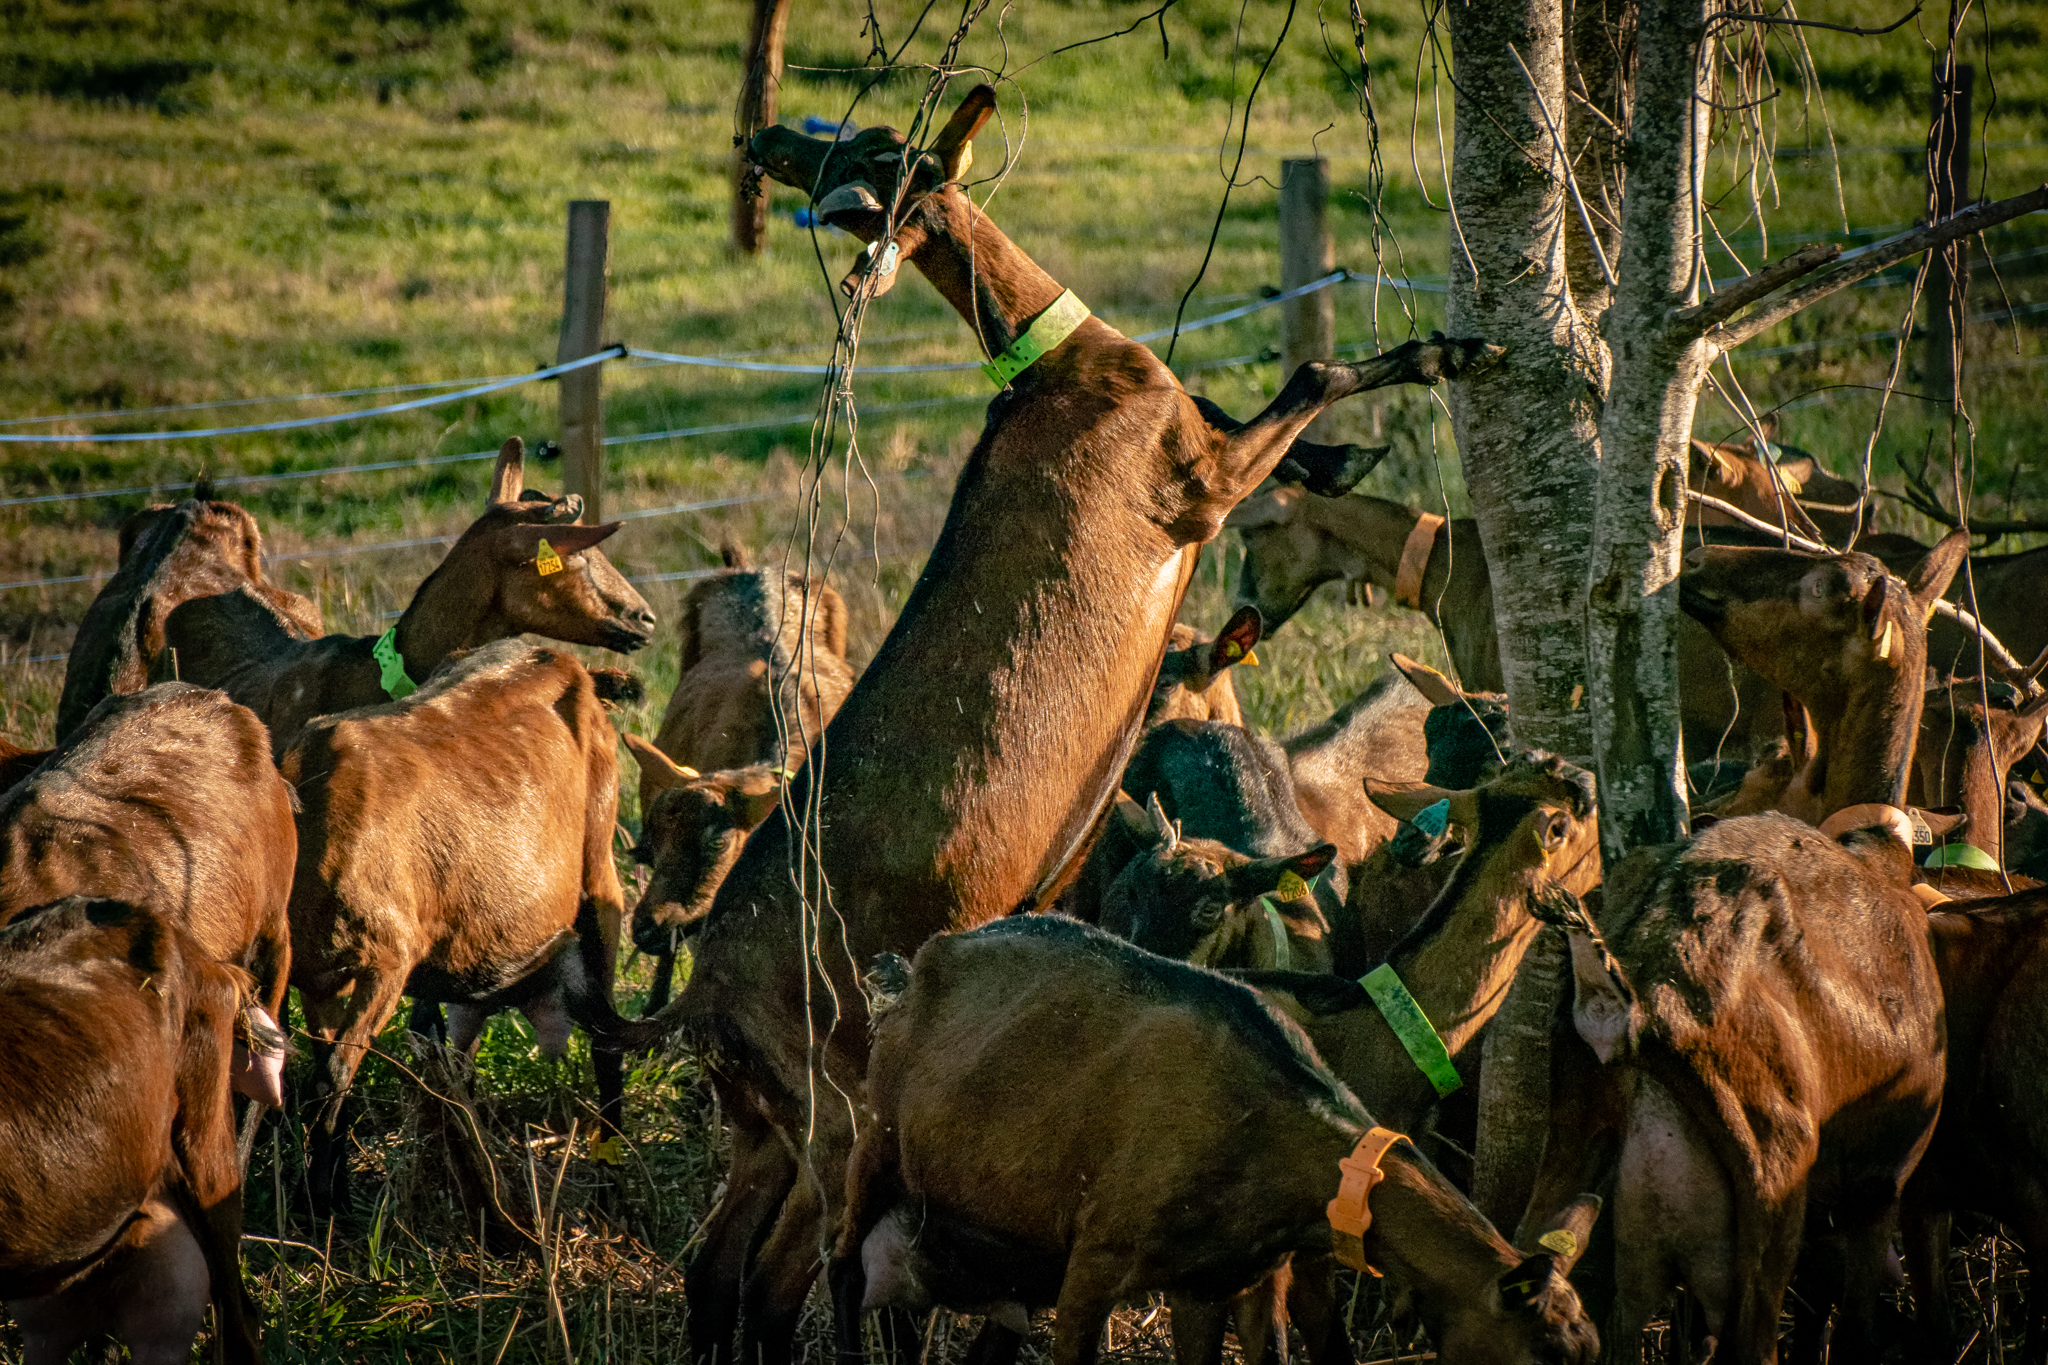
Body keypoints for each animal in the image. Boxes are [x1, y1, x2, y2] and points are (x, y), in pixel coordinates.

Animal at [655, 80, 1507, 1365]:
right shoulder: (1191, 485)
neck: (1063, 366)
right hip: (837, 1104)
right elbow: (1309, 373)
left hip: (769, 1122)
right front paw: (1449, 354)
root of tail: (706, 997)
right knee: (782, 1275)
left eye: (865, 143)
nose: (764, 143)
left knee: (718, 1269)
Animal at [831, 916, 1597, 1365]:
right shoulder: (1097, 1259)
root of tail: (918, 963)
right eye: (1545, 1354)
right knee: (843, 1268)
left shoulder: (1219, 1281)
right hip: (880, 1142)